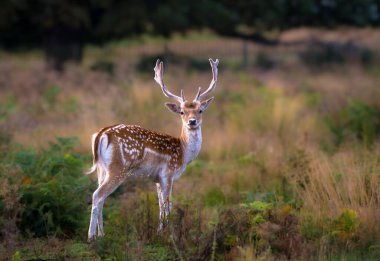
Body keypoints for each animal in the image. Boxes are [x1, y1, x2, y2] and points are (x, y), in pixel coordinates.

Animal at [85, 57, 218, 240]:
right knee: (97, 195)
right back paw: (91, 237)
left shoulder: (157, 179)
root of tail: (101, 134)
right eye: (182, 112)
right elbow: (168, 205)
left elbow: (161, 206)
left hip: (101, 169)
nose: (192, 122)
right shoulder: (168, 173)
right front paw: (172, 236)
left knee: (101, 196)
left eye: (200, 110)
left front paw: (159, 232)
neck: (183, 152)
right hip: (118, 168)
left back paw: (102, 234)